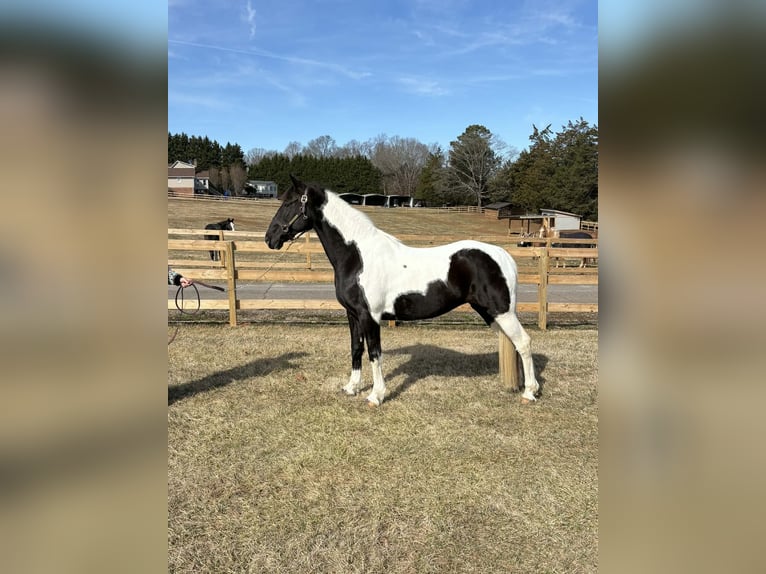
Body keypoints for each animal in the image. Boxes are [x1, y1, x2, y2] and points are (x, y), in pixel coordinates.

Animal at [265, 175, 540, 406]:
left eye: (290, 202)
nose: (270, 238)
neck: (358, 256)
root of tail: (502, 255)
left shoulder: (369, 316)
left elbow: (375, 353)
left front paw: (376, 396)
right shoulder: (353, 315)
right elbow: (356, 349)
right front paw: (351, 388)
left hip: (502, 312)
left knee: (523, 343)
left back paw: (529, 392)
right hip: (489, 312)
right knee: (513, 343)